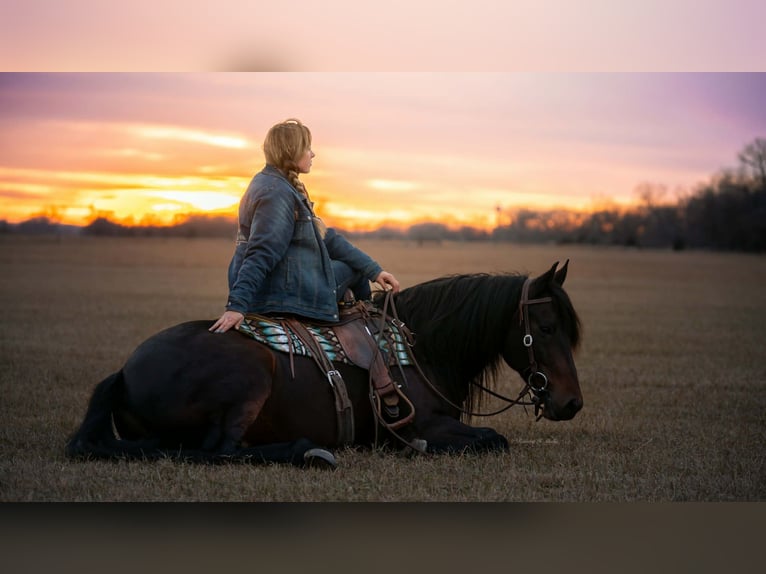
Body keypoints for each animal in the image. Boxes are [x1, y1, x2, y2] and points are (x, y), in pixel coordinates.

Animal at [66, 261, 582, 469]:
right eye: (546, 328)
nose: (572, 403)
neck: (422, 349)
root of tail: (125, 371)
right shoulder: (426, 424)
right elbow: (492, 439)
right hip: (249, 377)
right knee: (221, 452)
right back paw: (308, 451)